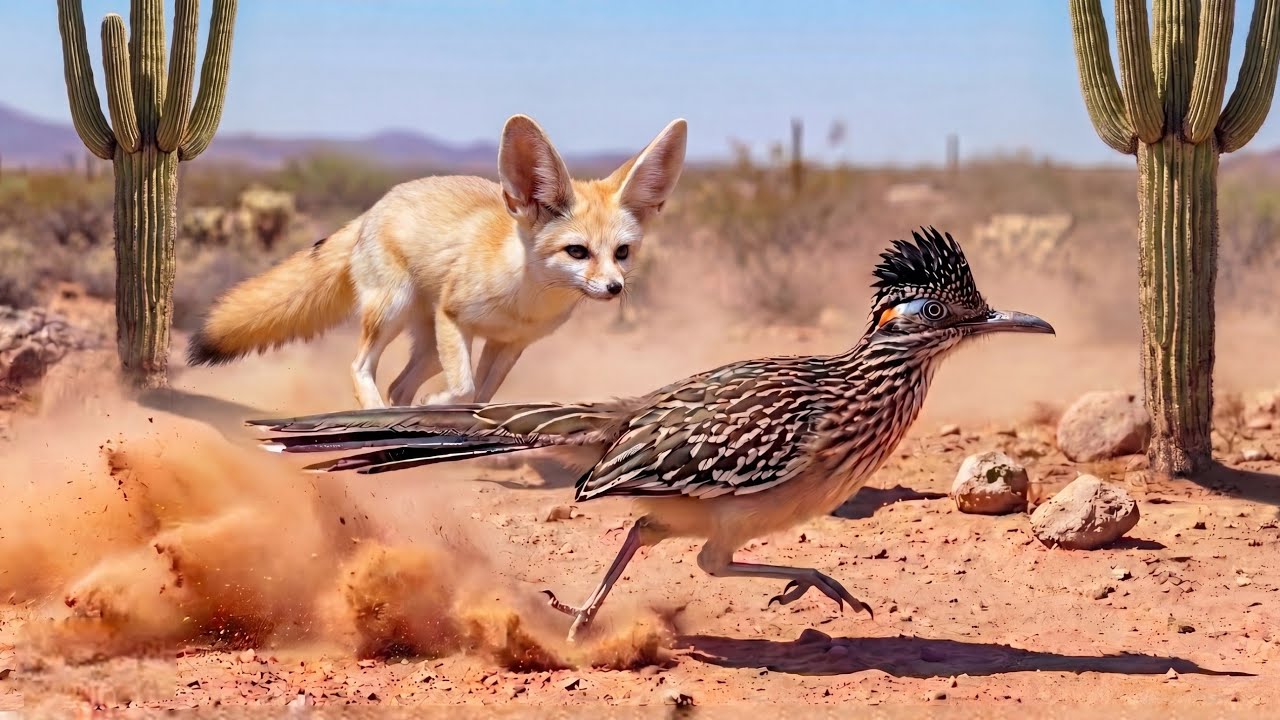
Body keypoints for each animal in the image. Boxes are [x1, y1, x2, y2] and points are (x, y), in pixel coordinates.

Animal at [186, 115, 688, 410]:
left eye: (622, 253)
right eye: (577, 252)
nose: (615, 288)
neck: (523, 301)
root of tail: (374, 208)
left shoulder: (509, 345)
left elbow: (479, 398)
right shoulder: (455, 319)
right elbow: (465, 390)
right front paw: (438, 406)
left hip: (427, 349)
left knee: (398, 385)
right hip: (394, 313)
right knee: (361, 368)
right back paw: (376, 415)